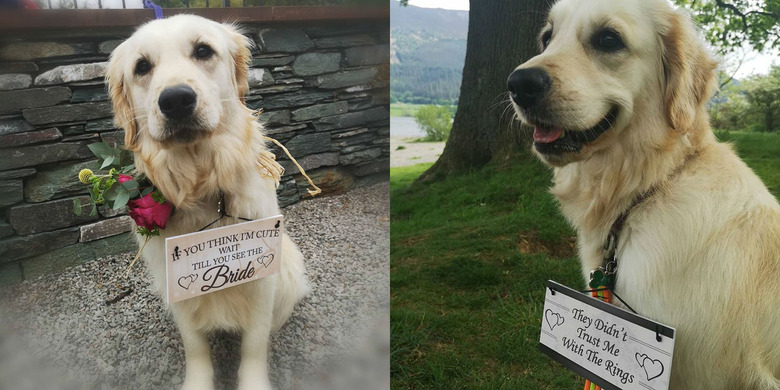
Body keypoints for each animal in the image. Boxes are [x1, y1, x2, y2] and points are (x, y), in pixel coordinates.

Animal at [104, 13, 310, 388]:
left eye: (203, 50)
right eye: (142, 66)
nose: (175, 100)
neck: (203, 185)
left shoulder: (261, 275)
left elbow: (254, 344)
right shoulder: (177, 284)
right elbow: (195, 347)